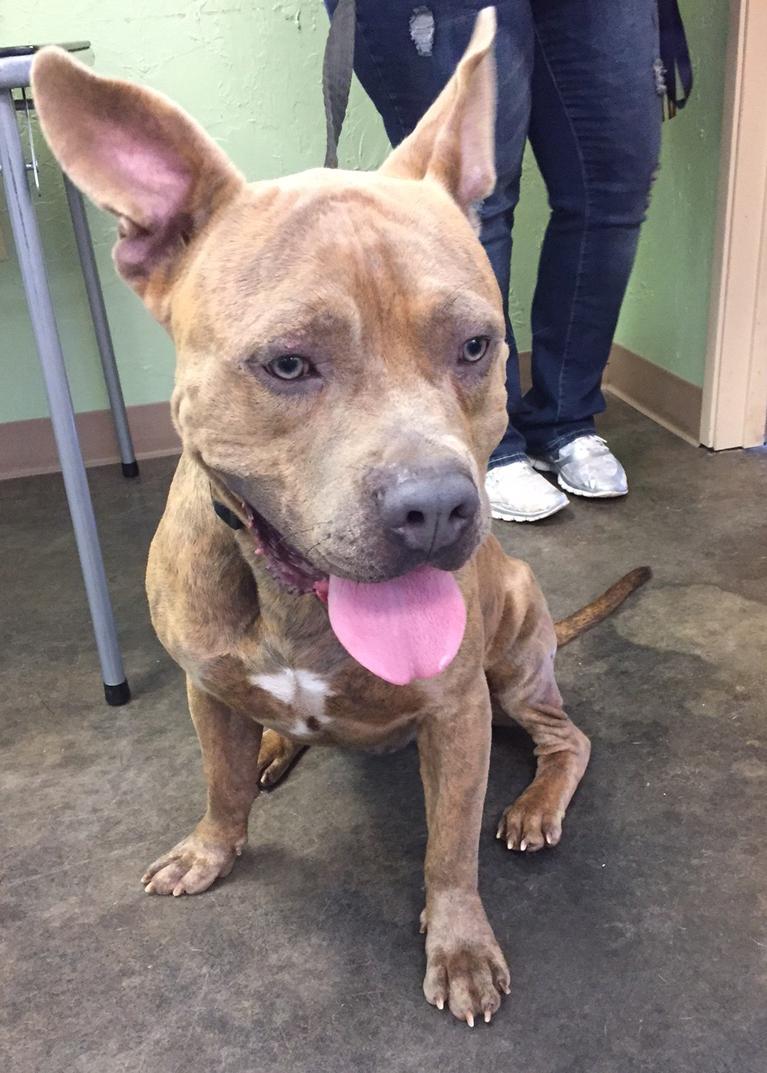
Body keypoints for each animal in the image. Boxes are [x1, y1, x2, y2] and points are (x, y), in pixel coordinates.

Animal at [32, 10, 647, 1030]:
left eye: (475, 345)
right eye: (287, 364)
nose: (436, 507)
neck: (292, 600)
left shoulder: (456, 714)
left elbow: (448, 847)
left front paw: (458, 942)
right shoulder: (205, 687)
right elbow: (219, 783)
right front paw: (211, 847)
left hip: (515, 660)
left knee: (566, 737)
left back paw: (533, 805)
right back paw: (281, 742)